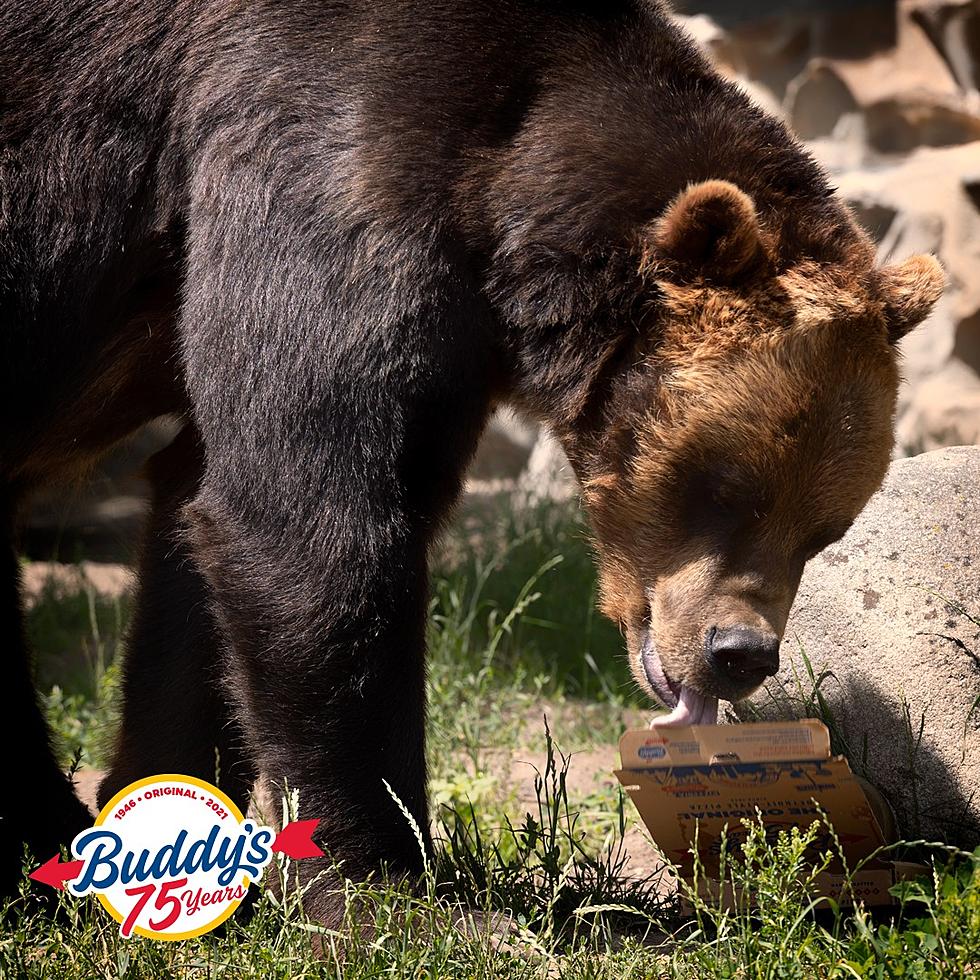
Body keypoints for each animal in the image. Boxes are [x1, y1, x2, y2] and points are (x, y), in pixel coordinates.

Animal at [0, 0, 940, 928]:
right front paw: (385, 887)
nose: (738, 652)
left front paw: (172, 827)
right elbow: (313, 521)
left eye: (825, 528)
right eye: (726, 489)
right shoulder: (321, 155)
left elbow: (201, 529)